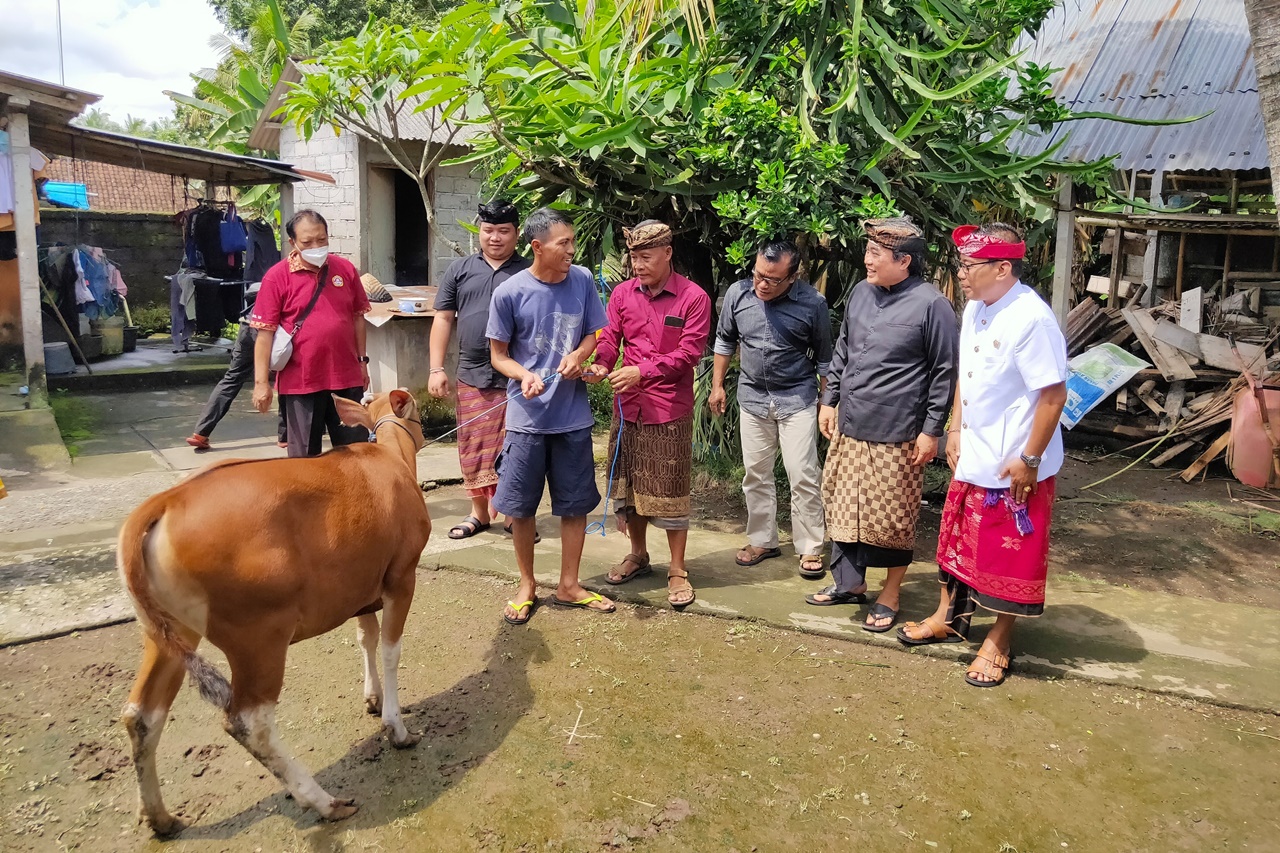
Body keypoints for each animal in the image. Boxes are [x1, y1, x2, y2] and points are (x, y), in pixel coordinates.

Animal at [113, 389, 430, 835]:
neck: (388, 458)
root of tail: (165, 501)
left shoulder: (361, 587)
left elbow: (365, 638)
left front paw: (372, 697)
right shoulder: (402, 576)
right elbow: (389, 649)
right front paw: (396, 728)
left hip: (169, 632)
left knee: (142, 716)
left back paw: (160, 816)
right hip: (258, 635)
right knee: (248, 722)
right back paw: (323, 801)